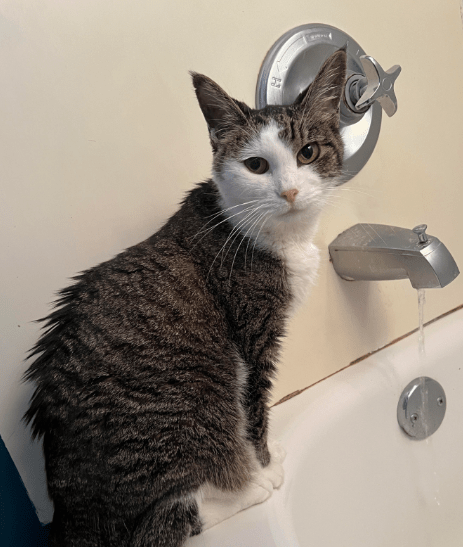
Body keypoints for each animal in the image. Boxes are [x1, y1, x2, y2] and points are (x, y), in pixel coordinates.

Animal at [24, 47, 347, 546]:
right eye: (256, 166)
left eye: (308, 153)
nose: (290, 191)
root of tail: (73, 513)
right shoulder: (253, 332)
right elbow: (253, 409)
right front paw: (264, 466)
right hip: (189, 414)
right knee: (163, 522)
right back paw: (246, 488)